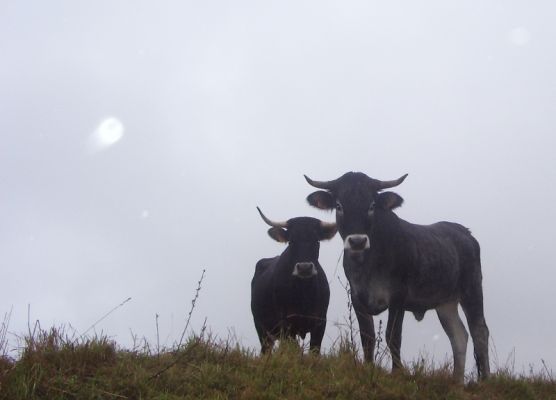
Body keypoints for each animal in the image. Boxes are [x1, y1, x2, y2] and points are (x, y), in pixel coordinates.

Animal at [253, 208, 338, 354]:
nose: (304, 268)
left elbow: (314, 350)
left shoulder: (320, 322)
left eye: (316, 240)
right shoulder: (287, 323)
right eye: (291, 241)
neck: (303, 293)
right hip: (262, 329)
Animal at [304, 173, 490, 382]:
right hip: (446, 302)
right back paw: (456, 381)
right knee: (459, 335)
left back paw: (484, 380)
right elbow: (367, 336)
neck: (368, 263)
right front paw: (368, 367)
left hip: (472, 289)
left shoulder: (398, 296)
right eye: (339, 205)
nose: (357, 241)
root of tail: (465, 232)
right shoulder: (357, 295)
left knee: (479, 331)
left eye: (372, 205)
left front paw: (397, 372)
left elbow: (392, 336)